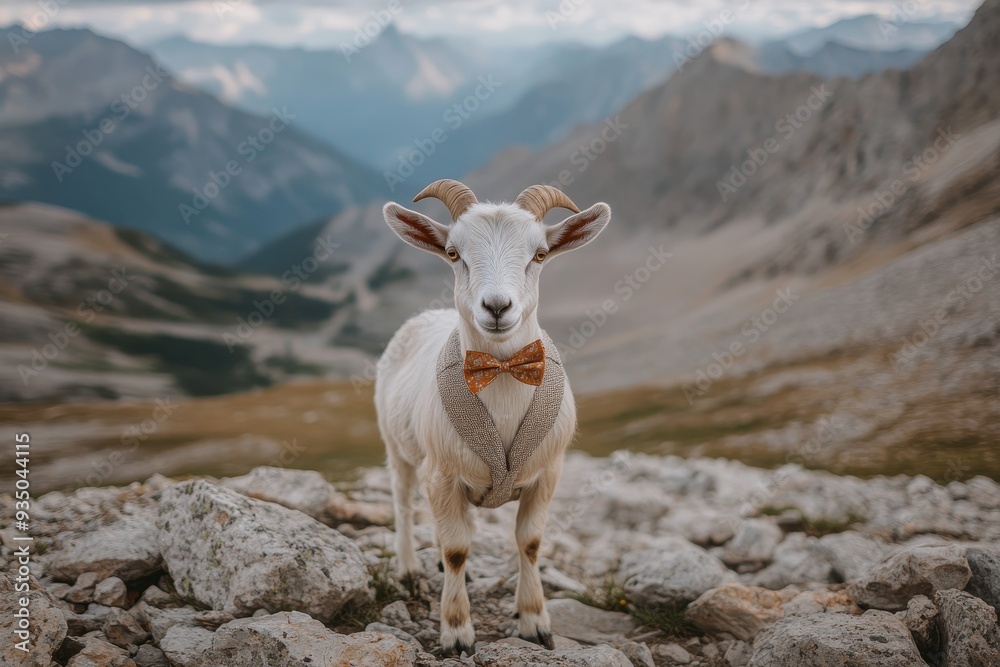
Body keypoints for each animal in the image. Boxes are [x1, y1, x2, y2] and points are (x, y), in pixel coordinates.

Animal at [375, 179, 611, 656]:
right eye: (453, 253)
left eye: (539, 254)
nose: (497, 307)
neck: (501, 373)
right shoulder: (441, 474)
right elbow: (456, 551)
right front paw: (456, 632)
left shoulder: (547, 473)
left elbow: (530, 543)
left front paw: (535, 622)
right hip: (398, 447)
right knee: (402, 502)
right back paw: (409, 571)